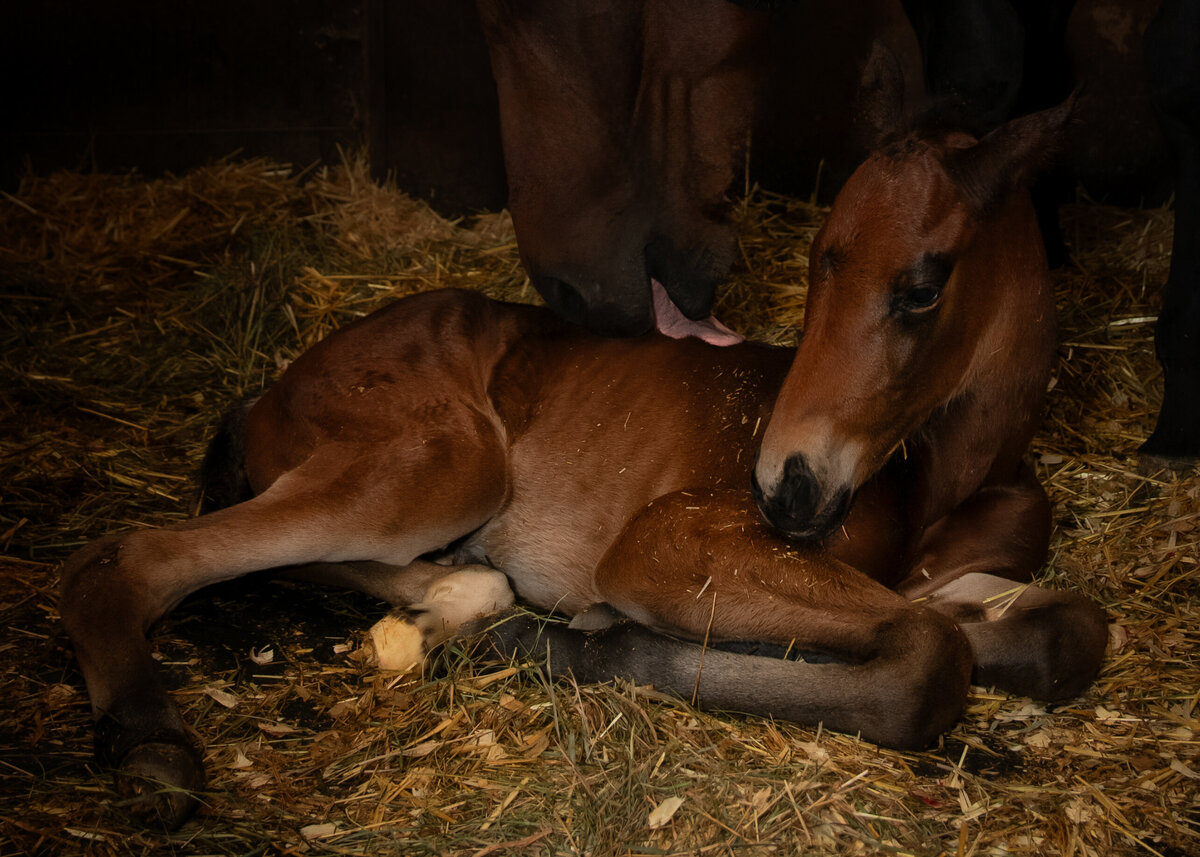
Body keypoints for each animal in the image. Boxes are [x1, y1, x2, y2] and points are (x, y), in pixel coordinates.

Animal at [58, 88, 1104, 825]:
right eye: (817, 266)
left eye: (922, 288)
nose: (787, 482)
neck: (943, 481)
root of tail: (273, 384)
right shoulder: (668, 541)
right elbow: (928, 658)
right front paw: (601, 639)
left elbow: (1066, 632)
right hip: (447, 462)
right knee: (133, 558)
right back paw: (153, 745)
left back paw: (461, 603)